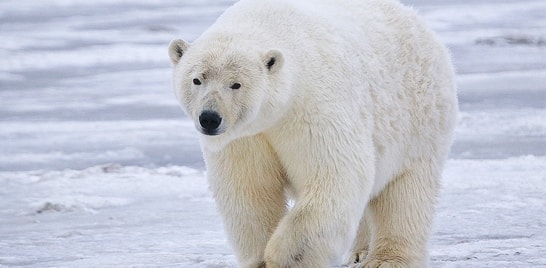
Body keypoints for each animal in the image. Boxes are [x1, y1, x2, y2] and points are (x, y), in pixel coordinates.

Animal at [168, 0, 456, 266]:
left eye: (236, 84)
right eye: (197, 79)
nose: (209, 118)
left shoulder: (313, 106)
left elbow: (335, 176)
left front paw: (283, 257)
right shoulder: (245, 138)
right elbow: (249, 189)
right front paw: (260, 258)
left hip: (419, 120)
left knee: (405, 194)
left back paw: (387, 258)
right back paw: (359, 252)